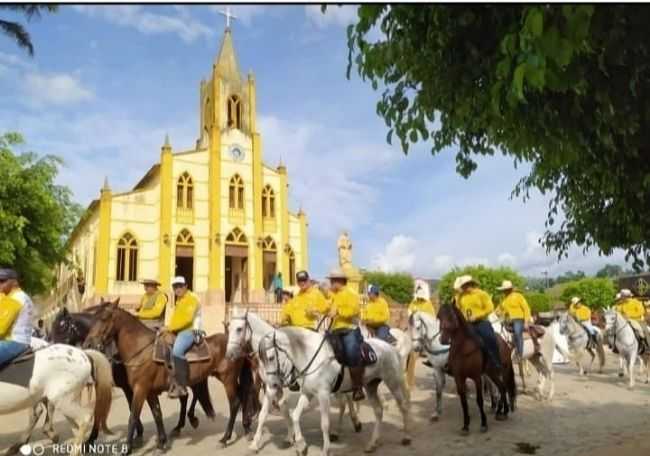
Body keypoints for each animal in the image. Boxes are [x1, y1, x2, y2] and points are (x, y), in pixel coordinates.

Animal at [83, 300, 258, 452]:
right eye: (92, 319)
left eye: (104, 318)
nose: (88, 344)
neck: (141, 349)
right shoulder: (149, 391)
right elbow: (157, 414)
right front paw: (161, 443)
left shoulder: (140, 389)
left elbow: (133, 416)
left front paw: (128, 448)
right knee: (242, 396)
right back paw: (246, 427)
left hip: (228, 379)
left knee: (235, 403)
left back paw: (225, 438)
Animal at [225, 310, 370, 452]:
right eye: (228, 328)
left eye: (239, 329)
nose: (229, 354)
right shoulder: (273, 386)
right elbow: (277, 412)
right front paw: (285, 439)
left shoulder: (273, 386)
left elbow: (269, 413)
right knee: (344, 402)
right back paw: (341, 429)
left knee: (347, 400)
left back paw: (352, 423)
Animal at [254, 318, 410, 456]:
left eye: (271, 357)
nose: (272, 384)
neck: (312, 356)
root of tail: (389, 347)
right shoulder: (307, 393)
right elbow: (295, 416)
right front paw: (302, 446)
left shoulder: (323, 395)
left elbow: (325, 424)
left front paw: (325, 450)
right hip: (370, 386)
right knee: (378, 411)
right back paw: (372, 444)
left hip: (393, 382)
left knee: (403, 406)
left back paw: (406, 437)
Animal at [436, 302, 516, 434]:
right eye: (439, 317)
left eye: (452, 316)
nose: (443, 340)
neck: (464, 348)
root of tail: (505, 343)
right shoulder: (459, 378)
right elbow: (463, 401)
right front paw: (465, 426)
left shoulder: (477, 377)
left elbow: (479, 400)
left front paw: (483, 424)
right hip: (491, 373)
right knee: (502, 388)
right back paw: (501, 412)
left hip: (503, 370)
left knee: (503, 387)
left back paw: (503, 412)